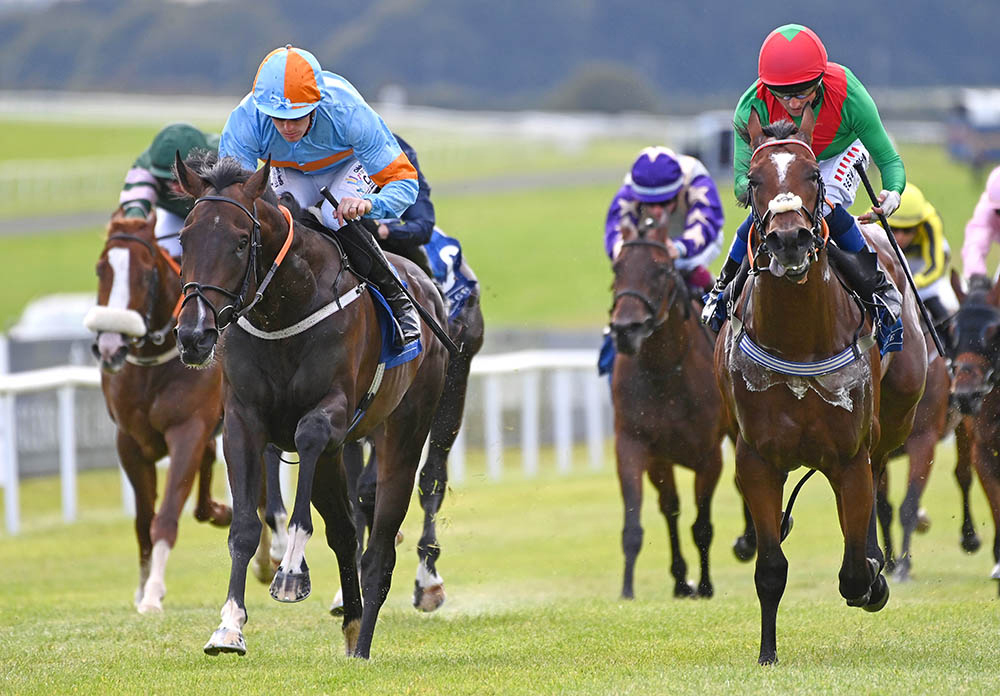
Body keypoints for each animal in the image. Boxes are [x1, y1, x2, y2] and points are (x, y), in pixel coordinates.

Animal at [84, 209, 232, 612]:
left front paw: (152, 594)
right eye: (101, 269)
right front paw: (142, 587)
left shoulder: (188, 429)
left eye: (147, 273)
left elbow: (164, 516)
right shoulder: (130, 441)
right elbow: (142, 521)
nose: (110, 347)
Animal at [175, 155, 450, 660]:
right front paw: (229, 627)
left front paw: (290, 573)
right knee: (344, 530)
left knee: (379, 545)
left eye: (240, 241)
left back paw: (363, 644)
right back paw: (352, 622)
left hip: (404, 430)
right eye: (185, 238)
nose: (194, 335)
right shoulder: (243, 421)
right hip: (333, 460)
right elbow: (244, 526)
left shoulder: (332, 414)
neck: (285, 308)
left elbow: (308, 438)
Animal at [604, 216, 732, 600]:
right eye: (617, 268)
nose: (626, 329)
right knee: (671, 507)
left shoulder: (709, 455)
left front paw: (705, 585)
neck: (664, 371)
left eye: (661, 269)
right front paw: (628, 591)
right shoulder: (636, 446)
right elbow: (638, 523)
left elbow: (702, 525)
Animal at [716, 111, 924, 668]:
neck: (799, 343)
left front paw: (873, 578)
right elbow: (770, 568)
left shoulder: (848, 455)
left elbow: (853, 570)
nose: (788, 239)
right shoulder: (756, 460)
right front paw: (767, 653)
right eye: (753, 180)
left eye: (812, 174)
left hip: (895, 419)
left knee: (878, 472)